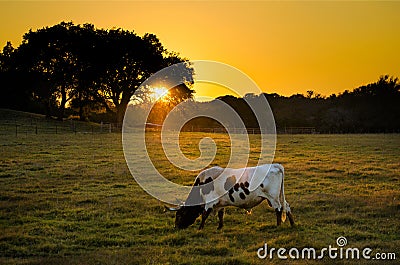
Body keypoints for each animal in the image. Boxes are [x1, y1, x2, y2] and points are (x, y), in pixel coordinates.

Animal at [165, 162, 294, 228]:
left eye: (179, 215)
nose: (176, 227)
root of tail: (275, 165)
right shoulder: (220, 203)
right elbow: (221, 214)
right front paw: (220, 227)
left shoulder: (209, 202)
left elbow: (204, 215)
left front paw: (200, 228)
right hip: (278, 197)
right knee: (287, 207)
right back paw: (292, 224)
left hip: (273, 198)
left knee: (278, 209)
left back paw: (278, 226)